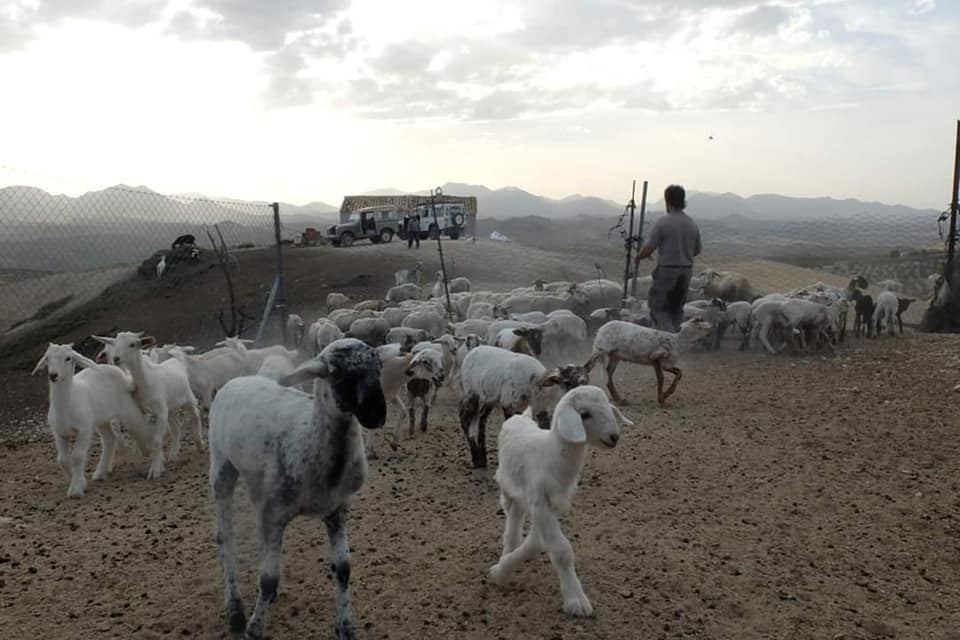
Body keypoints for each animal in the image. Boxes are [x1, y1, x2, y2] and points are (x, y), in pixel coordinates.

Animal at [31, 344, 157, 496]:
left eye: (68, 358)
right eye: (47, 358)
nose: (53, 375)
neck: (67, 403)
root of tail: (123, 375)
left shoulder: (84, 429)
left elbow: (77, 457)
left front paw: (77, 488)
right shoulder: (59, 432)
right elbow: (62, 459)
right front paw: (74, 480)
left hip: (127, 408)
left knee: (139, 427)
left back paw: (147, 452)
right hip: (101, 419)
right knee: (110, 439)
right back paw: (101, 472)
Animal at [210, 340, 386, 640]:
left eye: (378, 366)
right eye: (337, 374)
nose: (377, 413)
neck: (309, 441)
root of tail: (238, 379)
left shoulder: (337, 509)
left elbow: (344, 569)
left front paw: (346, 628)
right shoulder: (275, 512)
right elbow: (268, 578)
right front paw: (253, 629)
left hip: (258, 485)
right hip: (221, 467)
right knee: (226, 538)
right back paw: (235, 610)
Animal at [492, 384, 632, 616]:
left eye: (608, 407)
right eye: (584, 414)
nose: (614, 437)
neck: (552, 456)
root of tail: (520, 417)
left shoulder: (552, 506)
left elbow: (536, 543)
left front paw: (505, 566)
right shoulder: (540, 503)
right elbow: (562, 550)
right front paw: (575, 601)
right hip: (507, 484)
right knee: (511, 516)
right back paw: (508, 548)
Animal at [584, 320, 712, 404]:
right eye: (702, 327)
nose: (711, 329)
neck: (678, 342)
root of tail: (600, 329)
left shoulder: (666, 364)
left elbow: (679, 373)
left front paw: (667, 393)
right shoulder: (655, 358)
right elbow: (661, 378)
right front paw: (661, 399)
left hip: (615, 356)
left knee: (608, 375)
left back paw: (619, 399)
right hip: (600, 349)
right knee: (587, 367)